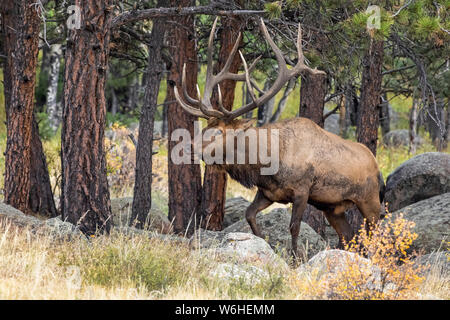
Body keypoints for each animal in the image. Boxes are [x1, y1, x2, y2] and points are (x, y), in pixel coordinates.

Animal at [174, 16, 384, 258]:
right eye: (206, 126)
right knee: (350, 237)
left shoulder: (302, 190)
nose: (186, 147)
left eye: (218, 131)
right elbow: (249, 215)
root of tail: (378, 168)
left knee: (375, 236)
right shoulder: (267, 192)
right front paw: (264, 243)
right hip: (334, 208)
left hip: (370, 200)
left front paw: (295, 258)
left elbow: (294, 227)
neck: (267, 163)